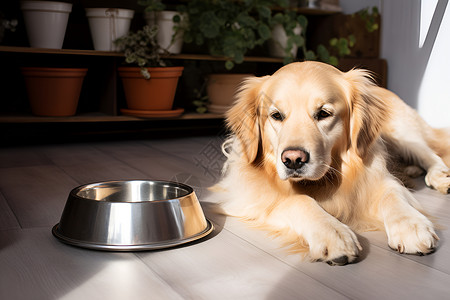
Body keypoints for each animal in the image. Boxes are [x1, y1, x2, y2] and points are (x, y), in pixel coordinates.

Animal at [215, 61, 450, 264]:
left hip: (402, 132)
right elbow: (298, 200)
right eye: (276, 115)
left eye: (323, 113)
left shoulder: (378, 178)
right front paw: (333, 233)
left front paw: (411, 224)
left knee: (432, 155)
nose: (293, 160)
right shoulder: (248, 196)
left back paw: (440, 178)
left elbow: (392, 194)